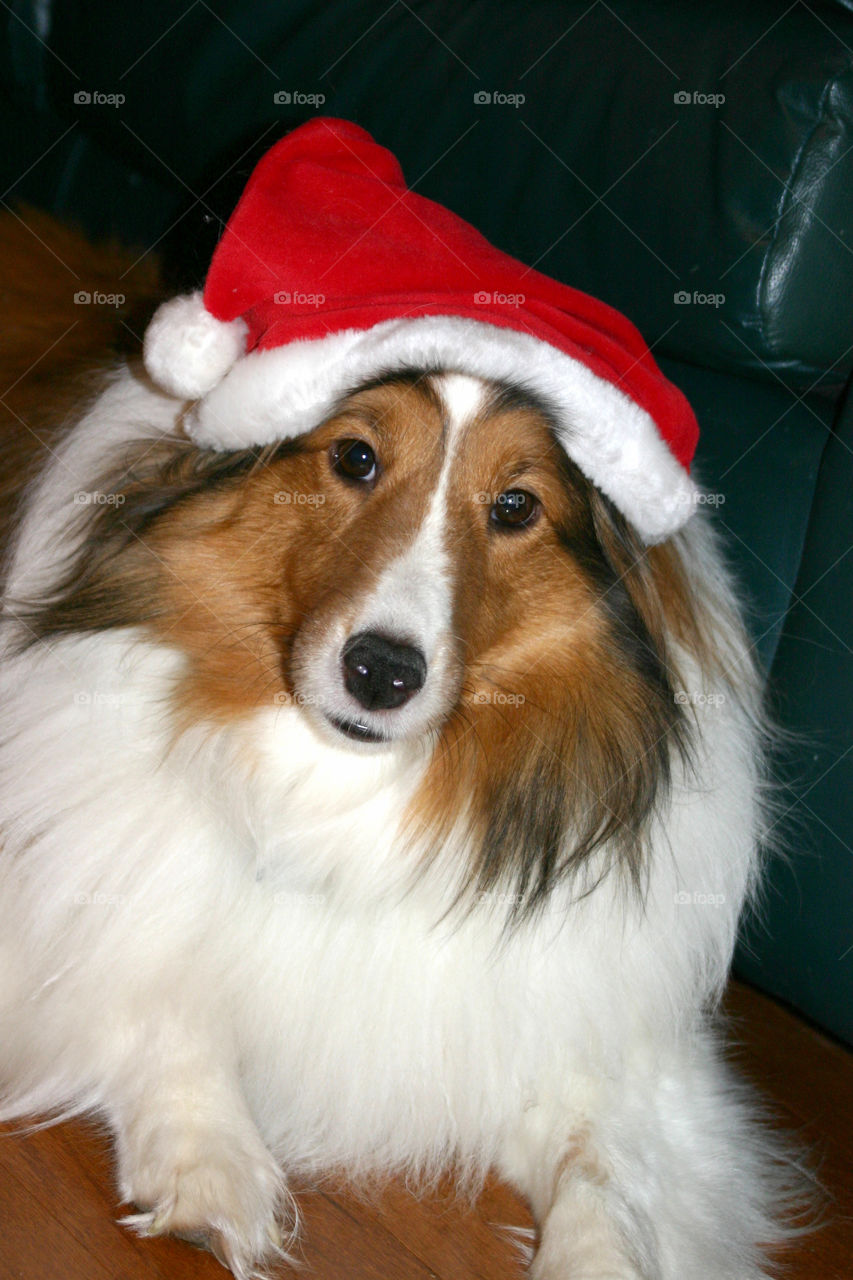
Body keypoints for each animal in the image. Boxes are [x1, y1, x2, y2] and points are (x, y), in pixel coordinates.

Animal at [0, 120, 799, 1280]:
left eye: (515, 506)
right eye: (354, 455)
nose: (381, 673)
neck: (342, 793)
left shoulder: (620, 1060)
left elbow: (610, 1180)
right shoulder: (73, 915)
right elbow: (163, 1004)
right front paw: (210, 1163)